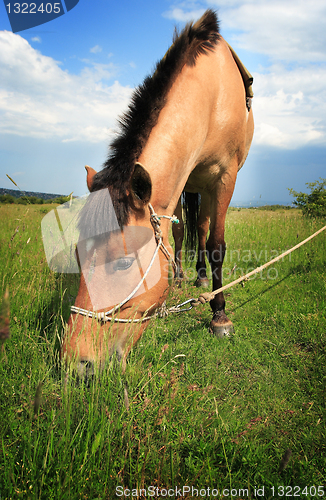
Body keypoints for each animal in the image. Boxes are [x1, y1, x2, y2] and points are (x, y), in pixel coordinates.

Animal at [61, 9, 255, 374]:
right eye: (78, 256)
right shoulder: (178, 185)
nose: (77, 363)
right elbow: (179, 234)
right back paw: (183, 275)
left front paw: (220, 315)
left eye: (124, 263)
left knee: (203, 230)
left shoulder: (225, 178)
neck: (212, 94)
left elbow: (216, 245)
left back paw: (201, 280)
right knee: (187, 232)